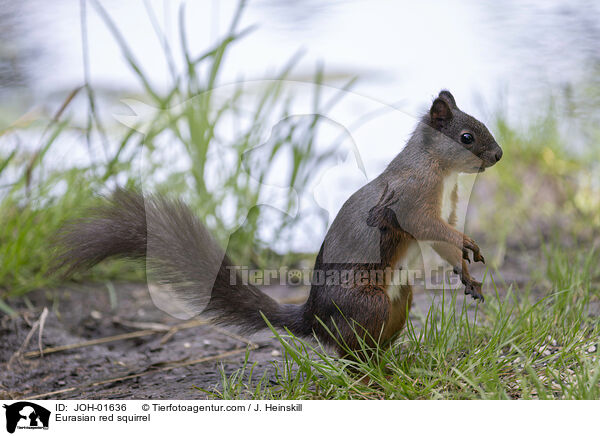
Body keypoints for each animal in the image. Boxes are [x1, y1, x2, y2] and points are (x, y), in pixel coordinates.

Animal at [55, 89, 502, 358]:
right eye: (467, 137)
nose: (498, 155)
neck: (440, 170)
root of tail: (313, 318)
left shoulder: (444, 207)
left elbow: (443, 242)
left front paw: (468, 276)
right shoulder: (411, 198)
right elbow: (431, 228)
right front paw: (470, 244)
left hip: (400, 298)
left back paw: (394, 359)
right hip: (368, 301)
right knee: (349, 352)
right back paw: (372, 370)